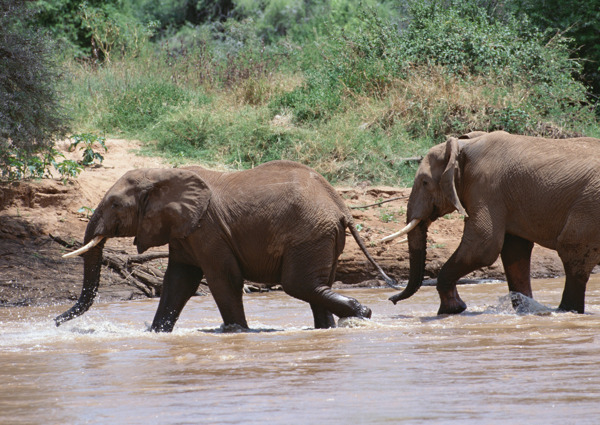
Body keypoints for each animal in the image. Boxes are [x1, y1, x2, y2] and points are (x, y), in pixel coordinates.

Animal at [55, 161, 394, 330]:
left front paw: (237, 333)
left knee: (298, 284)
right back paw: (338, 324)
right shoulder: (185, 230)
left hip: (310, 233)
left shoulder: (208, 229)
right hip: (322, 236)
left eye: (114, 204)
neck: (164, 173)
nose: (56, 322)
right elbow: (178, 281)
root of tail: (341, 206)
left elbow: (222, 279)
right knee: (316, 285)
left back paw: (362, 313)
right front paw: (156, 334)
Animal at [384, 131, 600, 314]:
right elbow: (514, 250)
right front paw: (526, 311)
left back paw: (565, 312)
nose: (391, 300)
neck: (464, 145)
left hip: (590, 206)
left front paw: (452, 310)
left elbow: (483, 246)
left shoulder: (487, 187)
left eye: (425, 182)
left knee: (572, 252)